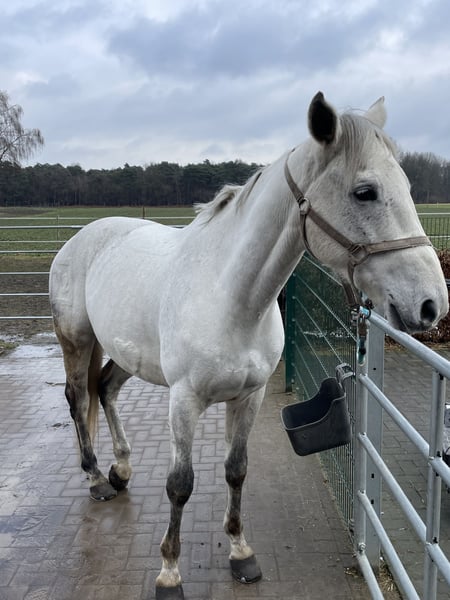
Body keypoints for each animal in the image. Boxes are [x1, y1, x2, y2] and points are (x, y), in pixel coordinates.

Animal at [49, 92, 448, 599]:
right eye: (365, 192)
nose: (431, 304)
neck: (230, 296)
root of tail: (81, 237)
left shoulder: (249, 397)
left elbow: (235, 469)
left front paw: (240, 552)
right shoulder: (184, 401)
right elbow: (180, 484)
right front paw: (169, 572)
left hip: (124, 352)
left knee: (105, 390)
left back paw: (121, 471)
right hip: (77, 339)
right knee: (78, 398)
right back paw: (97, 477)